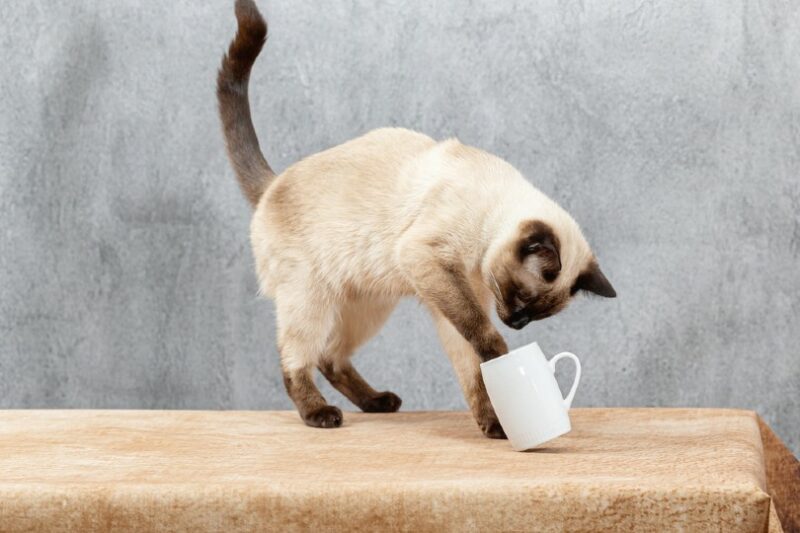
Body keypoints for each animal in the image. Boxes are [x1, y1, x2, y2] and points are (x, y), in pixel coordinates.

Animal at [216, 0, 616, 436]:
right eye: (522, 299)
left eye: (536, 315)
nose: (515, 323)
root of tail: (274, 183)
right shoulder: (431, 264)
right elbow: (483, 339)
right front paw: (502, 359)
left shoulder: (456, 298)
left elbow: (473, 372)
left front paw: (494, 425)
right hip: (311, 298)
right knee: (297, 360)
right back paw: (321, 414)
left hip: (367, 307)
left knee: (331, 358)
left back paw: (377, 402)